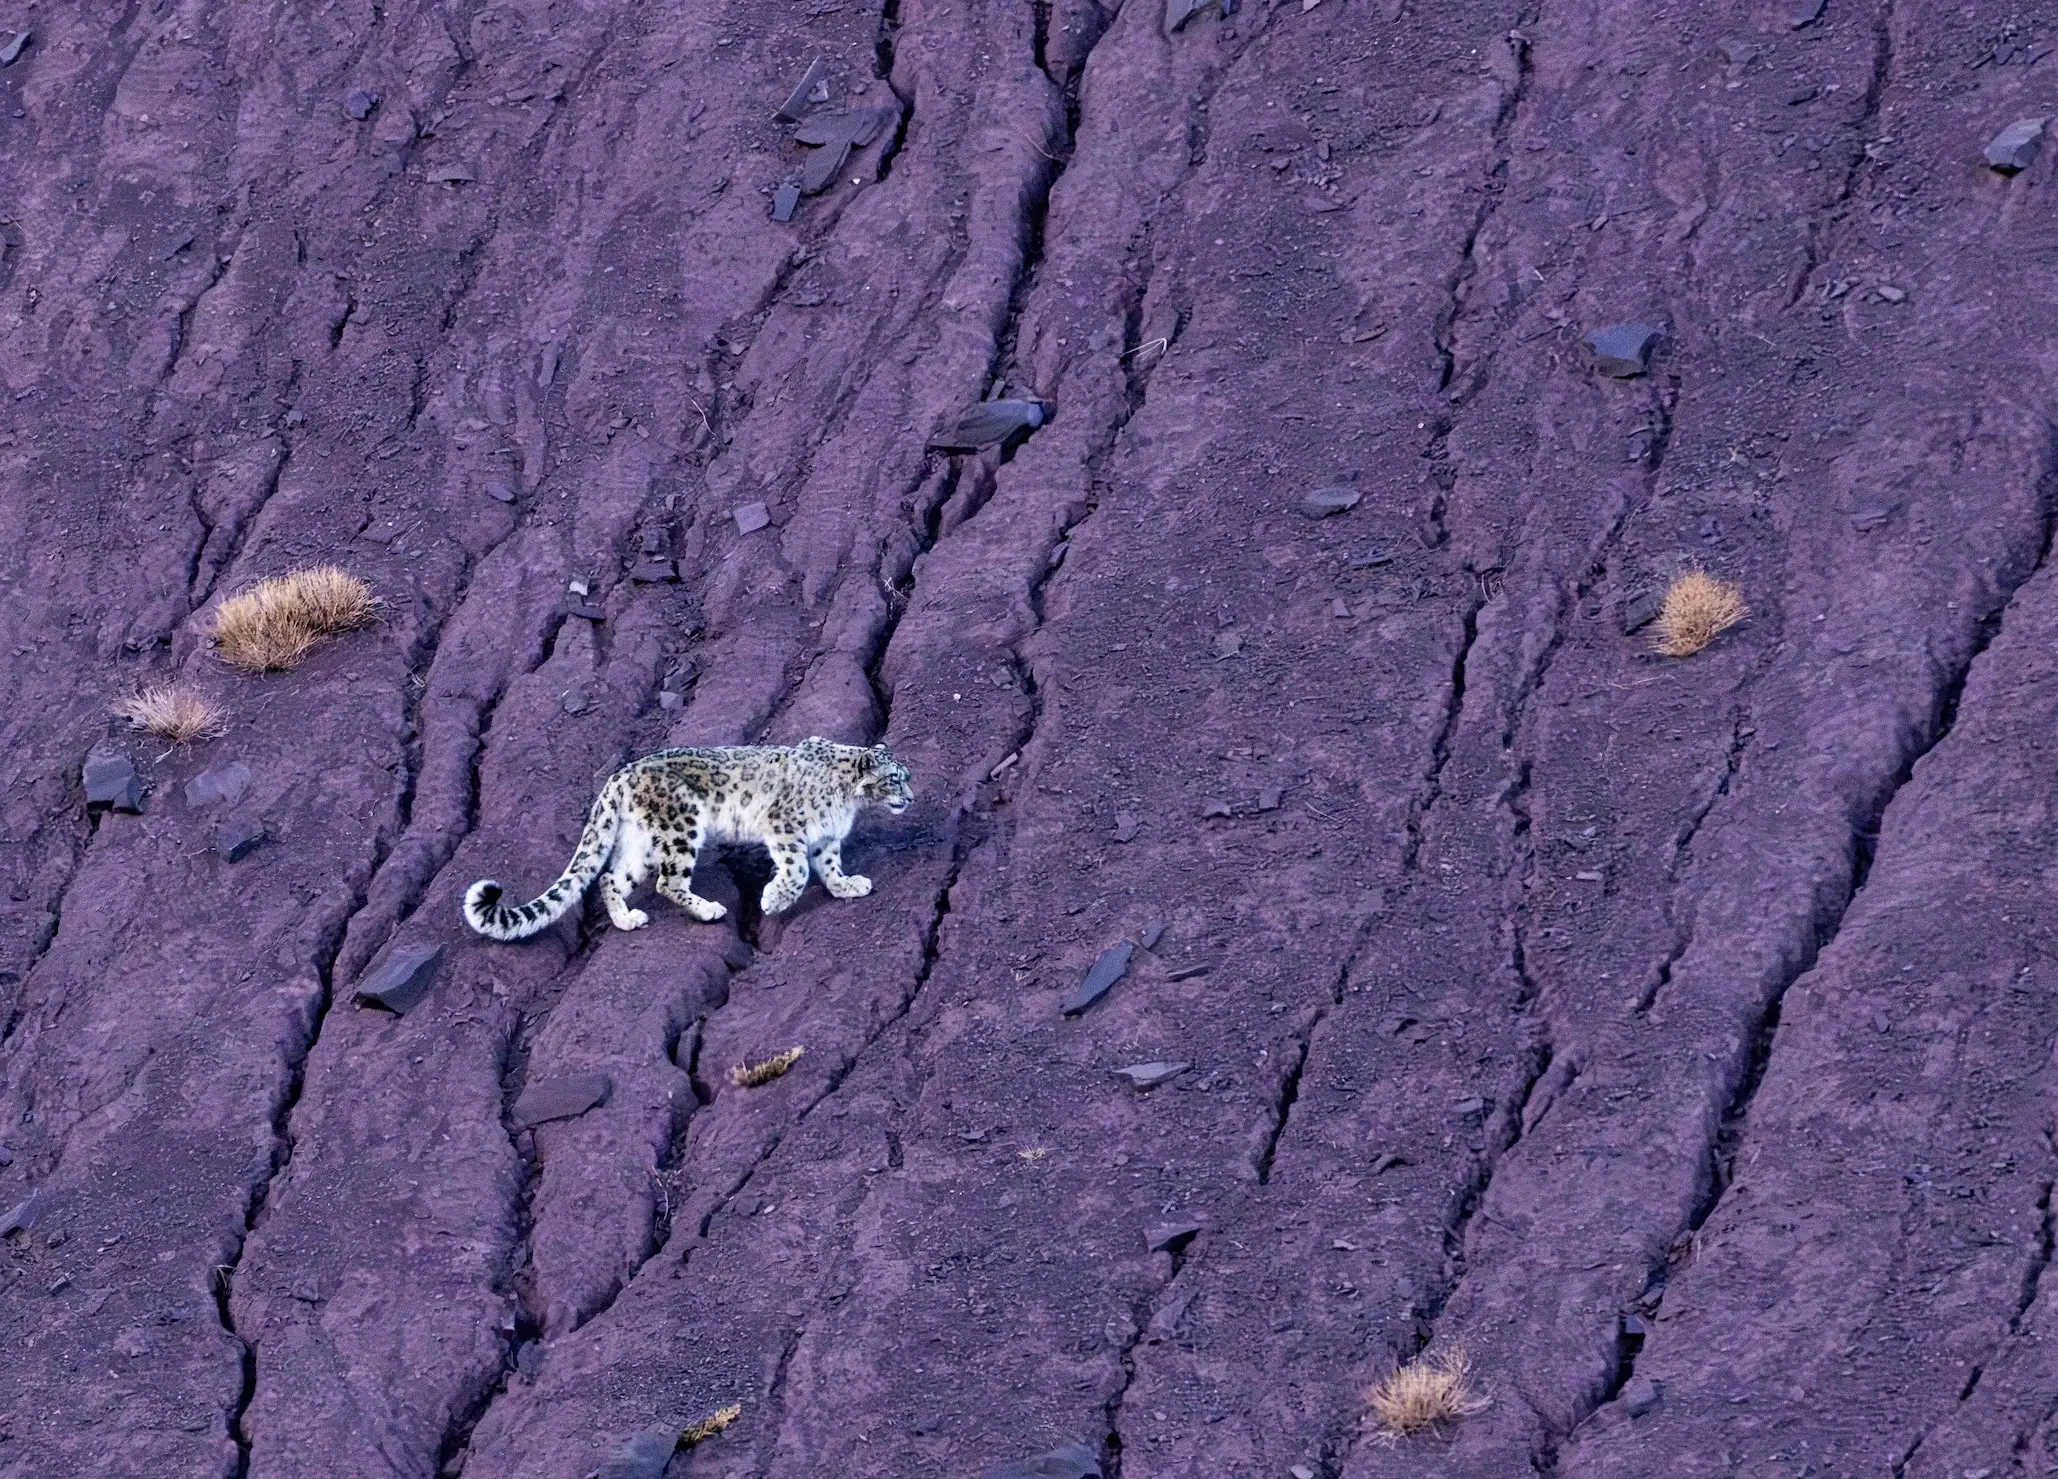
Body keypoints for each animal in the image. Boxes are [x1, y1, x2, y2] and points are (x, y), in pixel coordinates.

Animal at [462, 736, 913, 941]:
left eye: (906, 776)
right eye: (895, 778)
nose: (911, 797)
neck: (849, 800)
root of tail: (620, 775)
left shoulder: (825, 838)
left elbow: (830, 867)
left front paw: (848, 886)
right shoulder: (785, 826)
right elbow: (798, 870)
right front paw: (773, 900)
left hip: (641, 842)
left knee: (610, 877)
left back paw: (626, 919)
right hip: (682, 827)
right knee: (668, 881)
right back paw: (708, 910)